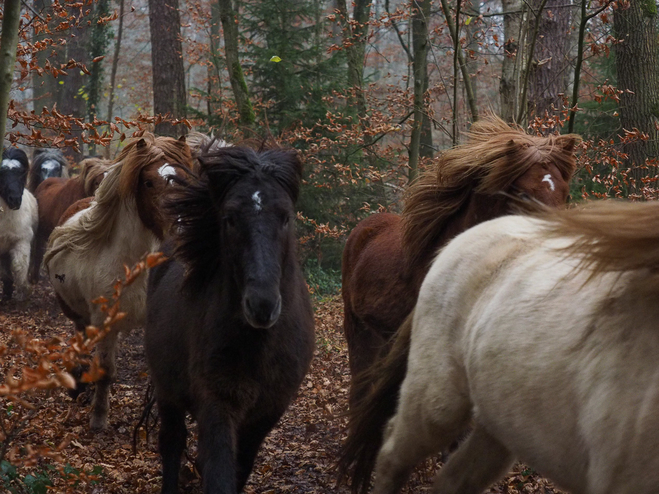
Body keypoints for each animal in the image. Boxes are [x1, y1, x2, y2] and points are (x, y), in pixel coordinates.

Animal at [44, 133, 191, 430]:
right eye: (148, 182)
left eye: (183, 179)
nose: (181, 229)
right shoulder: (105, 323)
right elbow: (105, 371)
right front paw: (99, 418)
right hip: (76, 313)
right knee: (81, 339)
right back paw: (78, 383)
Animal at [146, 145, 316, 492]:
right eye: (229, 218)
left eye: (286, 216)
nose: (262, 305)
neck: (258, 346)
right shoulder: (217, 403)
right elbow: (219, 473)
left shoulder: (266, 413)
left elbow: (239, 469)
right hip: (167, 391)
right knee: (172, 442)